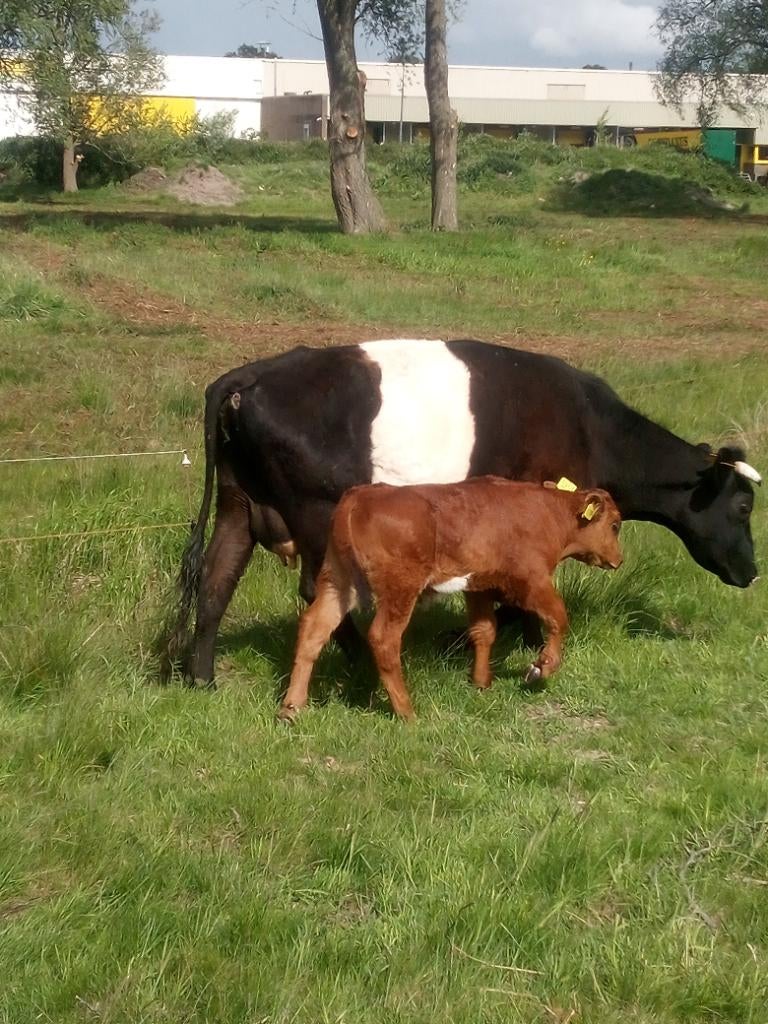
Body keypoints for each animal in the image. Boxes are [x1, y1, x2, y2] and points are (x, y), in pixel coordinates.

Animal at [164, 338, 760, 688]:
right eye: (743, 504)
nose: (753, 572)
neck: (591, 425)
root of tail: (251, 374)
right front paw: (528, 646)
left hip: (238, 505)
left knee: (216, 580)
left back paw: (202, 679)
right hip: (317, 512)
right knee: (318, 591)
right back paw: (361, 670)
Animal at [279, 479, 624, 722]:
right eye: (615, 525)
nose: (619, 560)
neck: (547, 513)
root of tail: (359, 496)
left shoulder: (479, 586)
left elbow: (484, 630)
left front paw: (481, 682)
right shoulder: (531, 580)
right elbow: (558, 617)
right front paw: (541, 667)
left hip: (337, 581)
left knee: (313, 629)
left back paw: (291, 708)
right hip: (400, 588)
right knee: (383, 639)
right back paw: (406, 712)